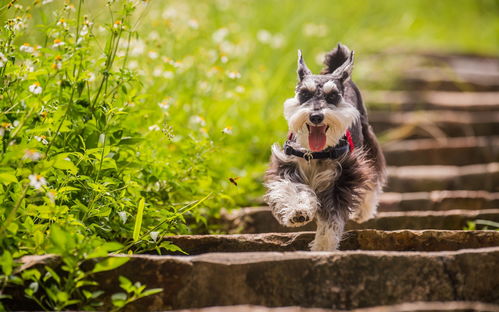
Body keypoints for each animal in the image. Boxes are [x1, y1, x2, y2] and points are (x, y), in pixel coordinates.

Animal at [266, 42, 386, 251]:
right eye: (304, 93)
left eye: (333, 96)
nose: (316, 116)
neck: (315, 153)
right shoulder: (287, 166)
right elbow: (293, 189)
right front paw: (298, 211)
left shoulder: (342, 178)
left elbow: (332, 218)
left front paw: (323, 246)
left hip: (368, 143)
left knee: (373, 176)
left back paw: (364, 211)